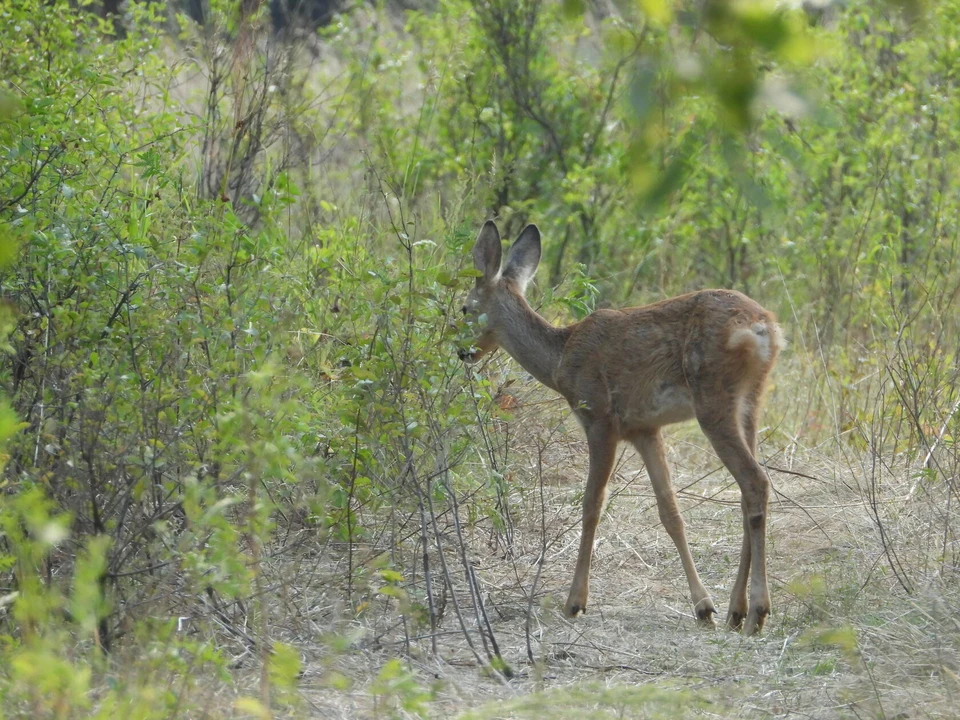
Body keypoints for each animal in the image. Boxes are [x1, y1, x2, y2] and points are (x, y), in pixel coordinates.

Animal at [462, 221, 784, 636]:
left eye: (465, 308)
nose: (461, 352)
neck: (560, 358)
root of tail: (763, 328)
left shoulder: (599, 417)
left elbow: (591, 504)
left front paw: (575, 601)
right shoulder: (644, 429)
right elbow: (670, 511)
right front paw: (703, 606)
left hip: (713, 401)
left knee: (755, 481)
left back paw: (757, 610)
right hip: (750, 403)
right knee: (750, 491)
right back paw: (735, 610)